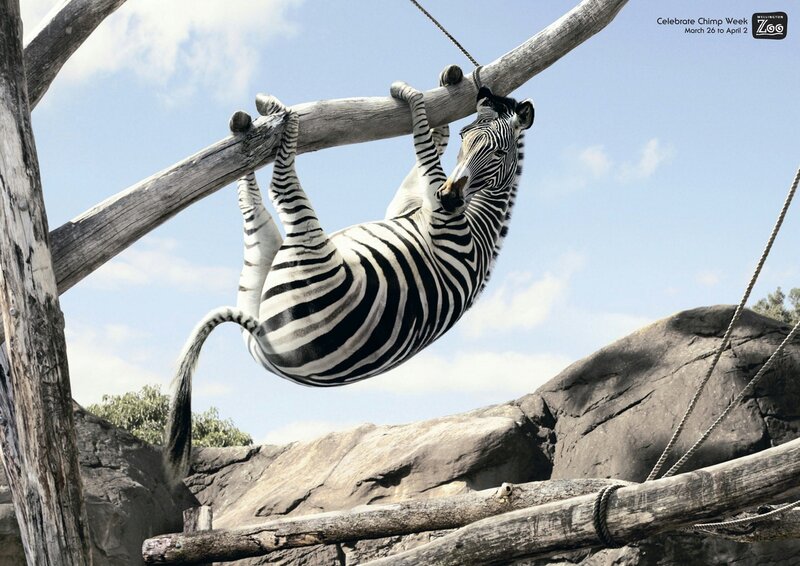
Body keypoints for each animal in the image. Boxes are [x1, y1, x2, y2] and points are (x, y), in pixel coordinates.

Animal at [165, 65, 534, 481]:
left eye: (499, 151)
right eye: (466, 136)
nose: (450, 196)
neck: (478, 222)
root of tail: (264, 341)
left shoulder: (441, 220)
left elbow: (423, 147)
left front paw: (409, 95)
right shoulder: (408, 204)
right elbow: (428, 148)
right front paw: (438, 90)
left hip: (304, 248)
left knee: (281, 184)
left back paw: (280, 115)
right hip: (257, 269)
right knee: (250, 201)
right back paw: (247, 132)